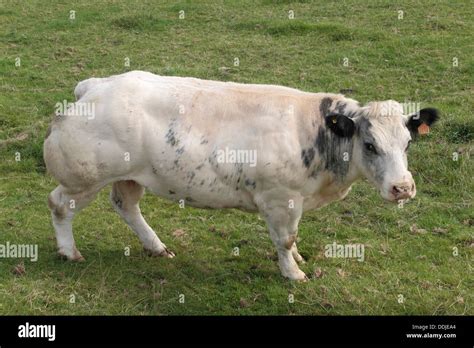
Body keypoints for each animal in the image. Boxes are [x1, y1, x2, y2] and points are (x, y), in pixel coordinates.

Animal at [42, 70, 438, 280]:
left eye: (407, 143)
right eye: (369, 145)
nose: (402, 188)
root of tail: (96, 85)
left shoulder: (291, 202)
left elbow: (291, 239)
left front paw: (297, 261)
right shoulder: (281, 199)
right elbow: (285, 239)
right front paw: (293, 273)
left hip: (131, 176)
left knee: (126, 205)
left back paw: (156, 246)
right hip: (82, 179)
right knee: (59, 205)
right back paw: (69, 252)